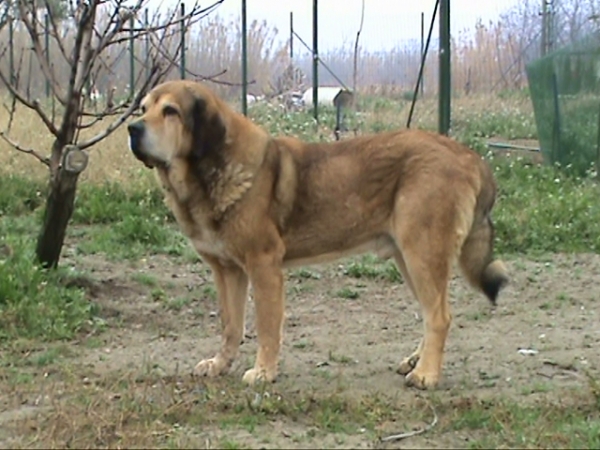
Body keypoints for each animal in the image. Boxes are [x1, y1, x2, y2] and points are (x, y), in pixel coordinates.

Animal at [126, 80, 506, 390]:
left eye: (170, 111)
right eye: (143, 109)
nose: (131, 127)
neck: (207, 173)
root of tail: (471, 157)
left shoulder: (263, 266)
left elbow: (266, 325)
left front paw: (263, 372)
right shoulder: (227, 271)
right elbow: (230, 325)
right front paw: (220, 365)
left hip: (422, 254)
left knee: (439, 316)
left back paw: (426, 375)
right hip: (409, 259)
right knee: (432, 313)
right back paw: (416, 362)